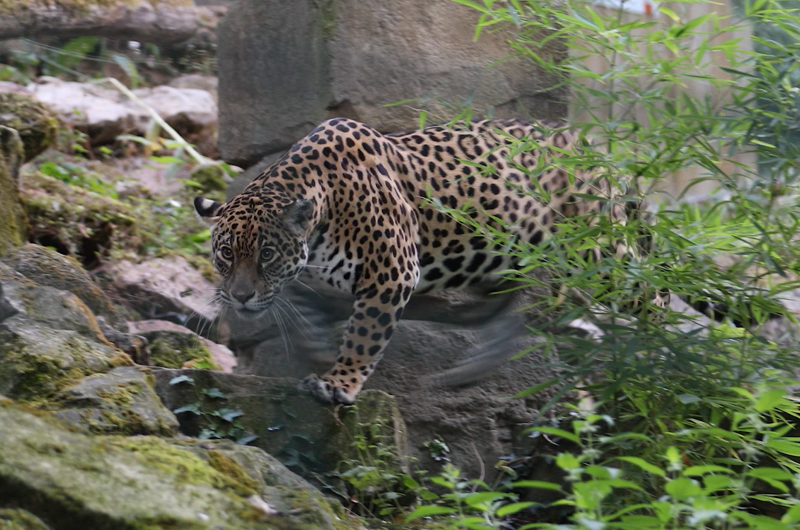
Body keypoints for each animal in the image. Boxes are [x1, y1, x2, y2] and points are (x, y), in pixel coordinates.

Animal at [195, 117, 638, 405]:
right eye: (227, 253)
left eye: (266, 254)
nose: (240, 298)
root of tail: (589, 143)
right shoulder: (303, 277)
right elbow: (302, 312)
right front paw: (319, 351)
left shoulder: (391, 272)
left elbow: (364, 335)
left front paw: (338, 383)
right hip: (503, 255)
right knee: (518, 308)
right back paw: (467, 368)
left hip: (597, 252)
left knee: (640, 289)